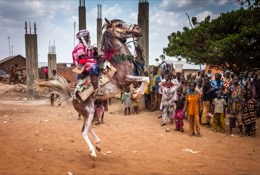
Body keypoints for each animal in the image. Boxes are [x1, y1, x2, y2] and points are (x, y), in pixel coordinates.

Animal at [37, 18, 149, 159]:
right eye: (119, 24)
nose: (138, 29)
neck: (119, 61)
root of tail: (73, 98)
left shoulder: (129, 80)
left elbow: (145, 79)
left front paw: (137, 93)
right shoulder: (125, 80)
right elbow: (145, 79)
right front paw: (137, 94)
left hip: (93, 110)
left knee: (89, 127)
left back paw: (98, 145)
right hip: (89, 111)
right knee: (84, 131)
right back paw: (93, 151)